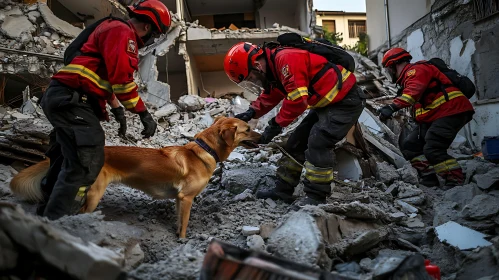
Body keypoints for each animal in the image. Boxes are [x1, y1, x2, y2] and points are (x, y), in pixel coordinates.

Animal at [9, 117, 262, 237]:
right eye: (248, 129)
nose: (264, 136)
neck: (204, 150)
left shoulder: (179, 199)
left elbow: (178, 220)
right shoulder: (187, 198)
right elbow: (185, 224)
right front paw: (182, 240)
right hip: (93, 194)